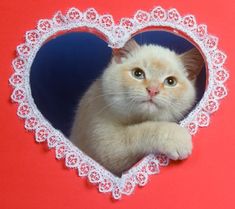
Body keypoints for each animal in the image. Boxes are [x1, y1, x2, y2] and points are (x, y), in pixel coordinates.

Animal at [70, 38, 204, 176]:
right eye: (138, 73)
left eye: (171, 81)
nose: (152, 90)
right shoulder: (104, 143)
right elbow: (140, 131)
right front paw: (177, 137)